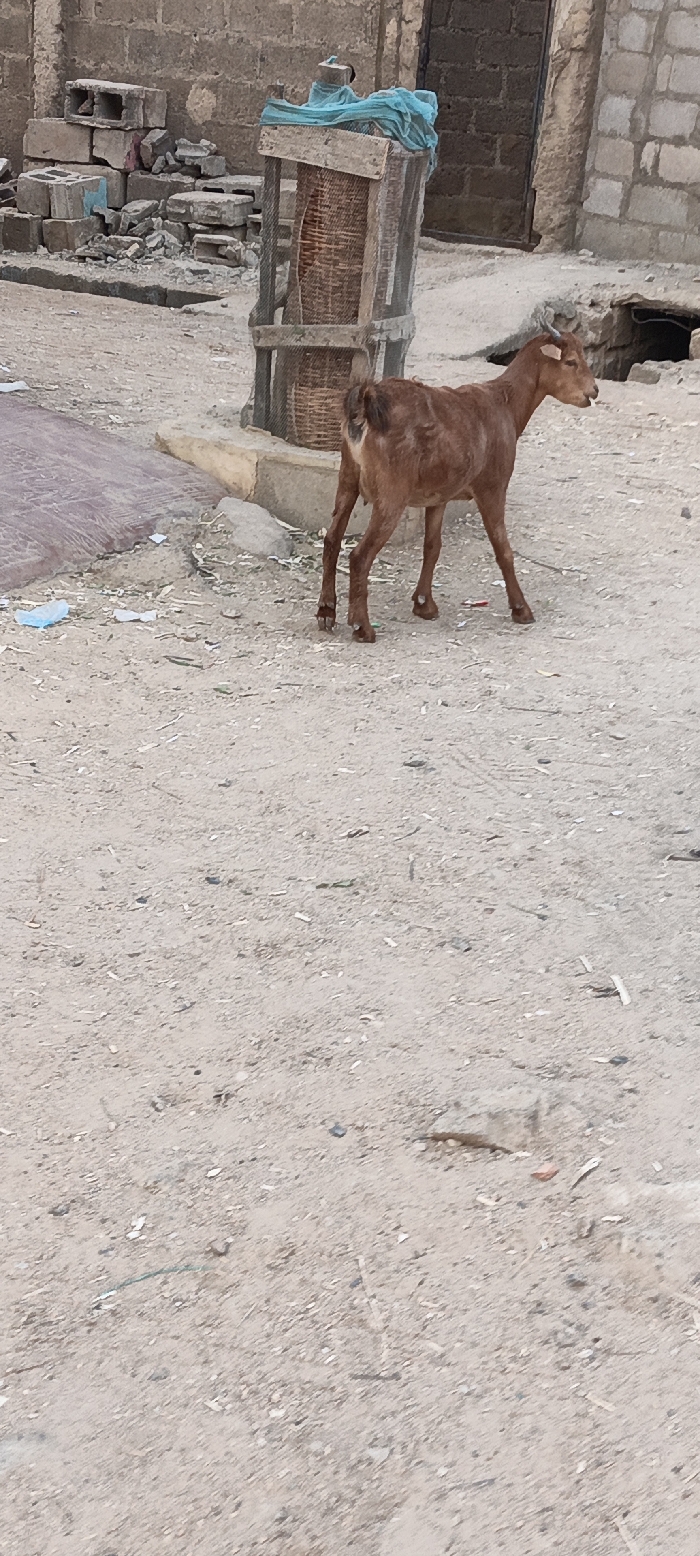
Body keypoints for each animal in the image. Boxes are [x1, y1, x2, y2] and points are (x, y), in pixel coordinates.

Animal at [316, 326, 598, 642]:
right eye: (571, 361)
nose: (593, 391)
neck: (505, 402)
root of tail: (366, 402)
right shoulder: (492, 487)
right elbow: (503, 550)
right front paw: (521, 609)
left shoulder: (438, 496)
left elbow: (432, 546)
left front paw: (424, 604)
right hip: (391, 495)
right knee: (360, 556)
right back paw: (362, 627)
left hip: (347, 478)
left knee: (332, 540)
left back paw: (326, 612)